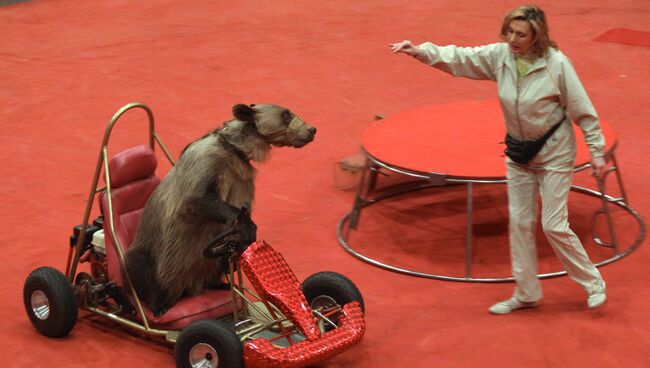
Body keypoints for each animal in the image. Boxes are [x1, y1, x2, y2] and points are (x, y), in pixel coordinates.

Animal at [124, 104, 316, 316]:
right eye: (286, 113)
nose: (311, 129)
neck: (237, 150)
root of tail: (187, 288)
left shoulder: (242, 180)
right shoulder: (208, 166)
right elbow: (198, 199)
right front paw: (249, 228)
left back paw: (220, 283)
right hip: (154, 253)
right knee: (139, 266)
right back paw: (159, 304)